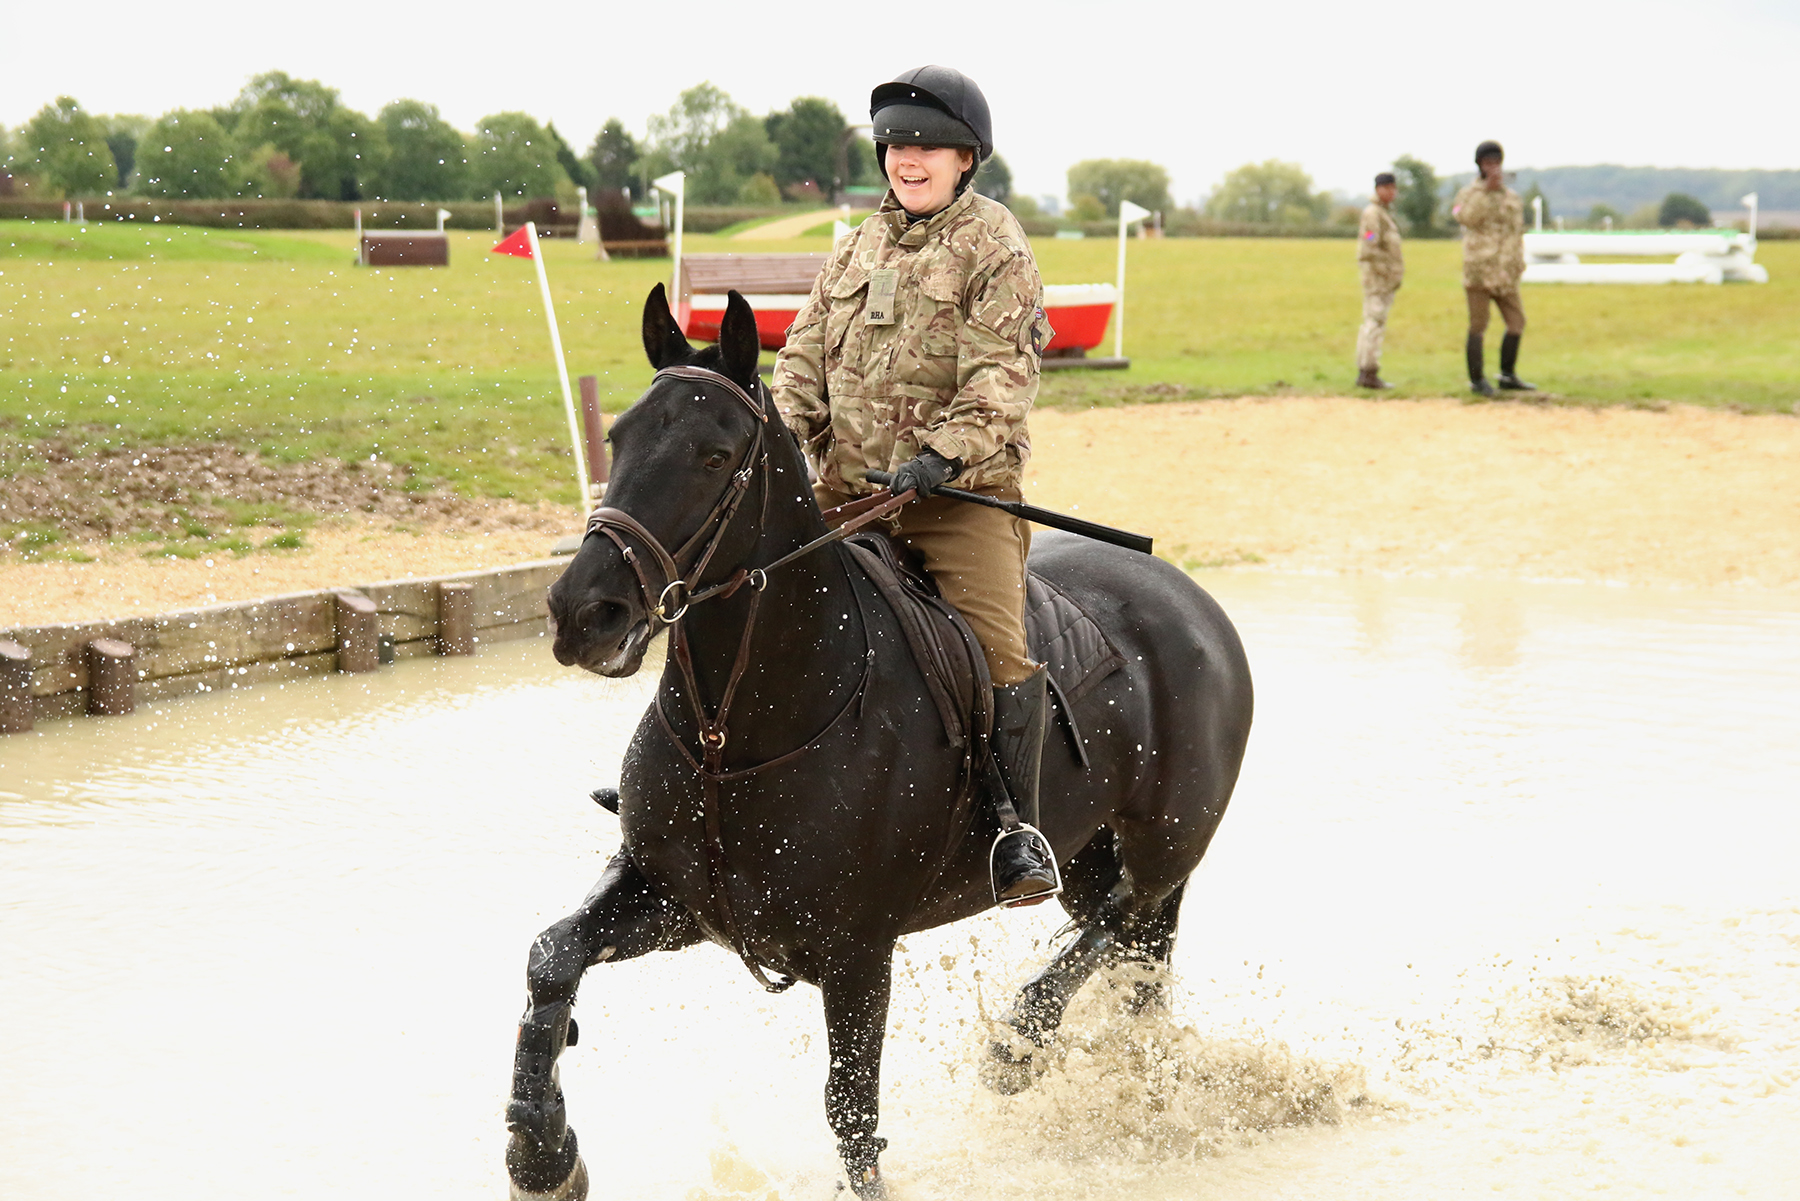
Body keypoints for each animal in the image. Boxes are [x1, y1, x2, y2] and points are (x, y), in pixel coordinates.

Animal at [505, 285, 1253, 1199]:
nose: (585, 612)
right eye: (618, 437)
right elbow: (552, 957)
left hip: (1163, 844)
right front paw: (542, 1152)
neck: (739, 732)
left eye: (715, 455)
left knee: (1120, 922)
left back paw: (1019, 1038)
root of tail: (1189, 598)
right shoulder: (675, 897)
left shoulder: (859, 952)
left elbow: (852, 1110)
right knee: (1133, 958)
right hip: (1089, 858)